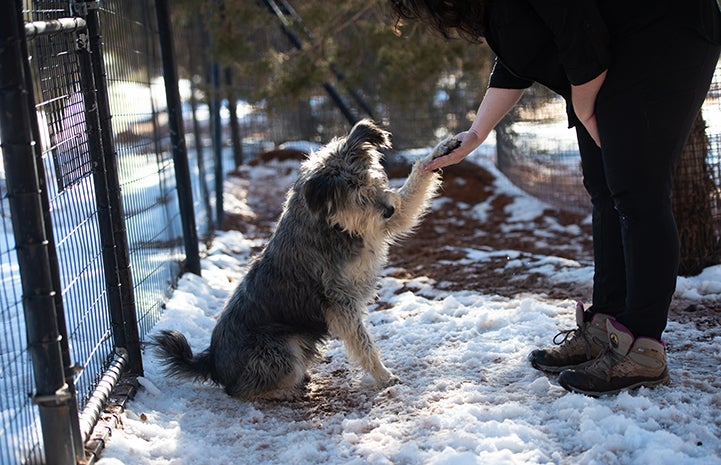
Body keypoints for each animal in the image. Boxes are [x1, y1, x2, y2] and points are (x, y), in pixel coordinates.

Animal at [154, 119, 452, 398]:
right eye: (355, 194)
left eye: (374, 179)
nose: (388, 209)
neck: (330, 222)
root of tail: (212, 362)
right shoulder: (340, 301)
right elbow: (363, 343)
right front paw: (383, 376)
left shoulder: (385, 223)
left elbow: (414, 188)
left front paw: (439, 151)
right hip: (281, 350)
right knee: (240, 390)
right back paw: (287, 390)